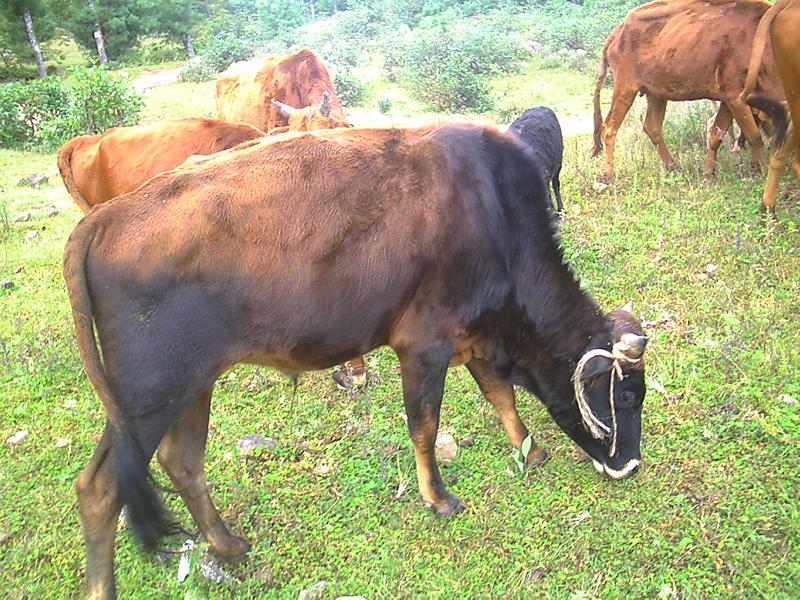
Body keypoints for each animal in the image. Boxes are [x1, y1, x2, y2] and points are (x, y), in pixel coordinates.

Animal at [592, 0, 784, 180]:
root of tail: (619, 30)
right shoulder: (736, 97)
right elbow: (754, 136)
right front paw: (765, 170)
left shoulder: (728, 100)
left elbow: (716, 135)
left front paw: (709, 173)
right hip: (625, 87)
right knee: (609, 127)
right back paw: (610, 174)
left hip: (656, 93)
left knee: (652, 127)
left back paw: (672, 166)